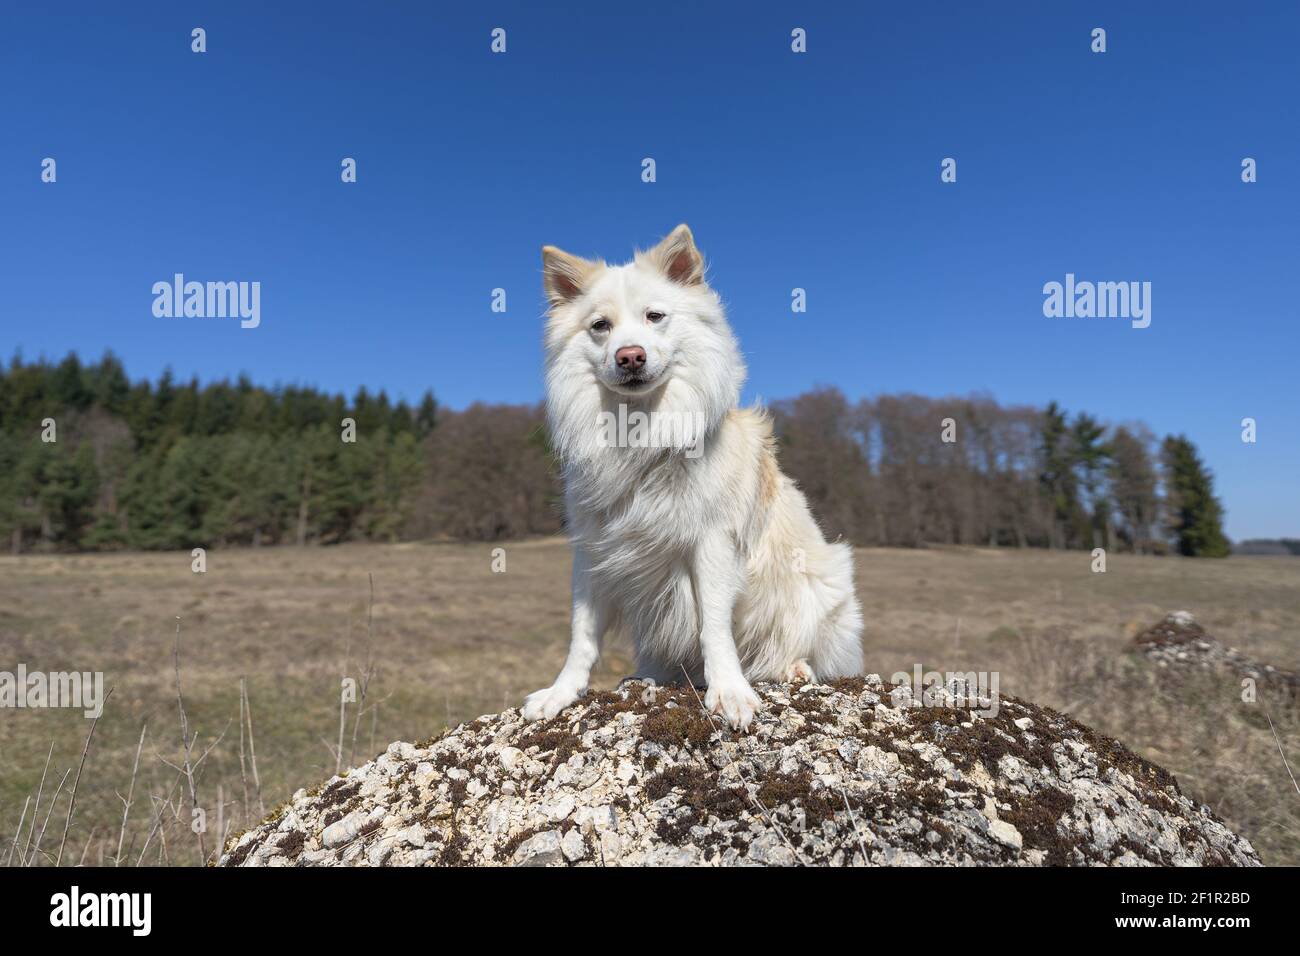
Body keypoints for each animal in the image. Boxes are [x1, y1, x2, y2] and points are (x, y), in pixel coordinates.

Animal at [517, 226, 863, 733]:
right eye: (600, 326)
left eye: (655, 316)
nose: (630, 356)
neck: (640, 429)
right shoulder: (592, 551)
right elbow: (582, 634)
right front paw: (561, 693)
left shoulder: (713, 543)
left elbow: (713, 625)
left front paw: (729, 693)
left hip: (822, 587)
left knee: (797, 648)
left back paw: (792, 668)